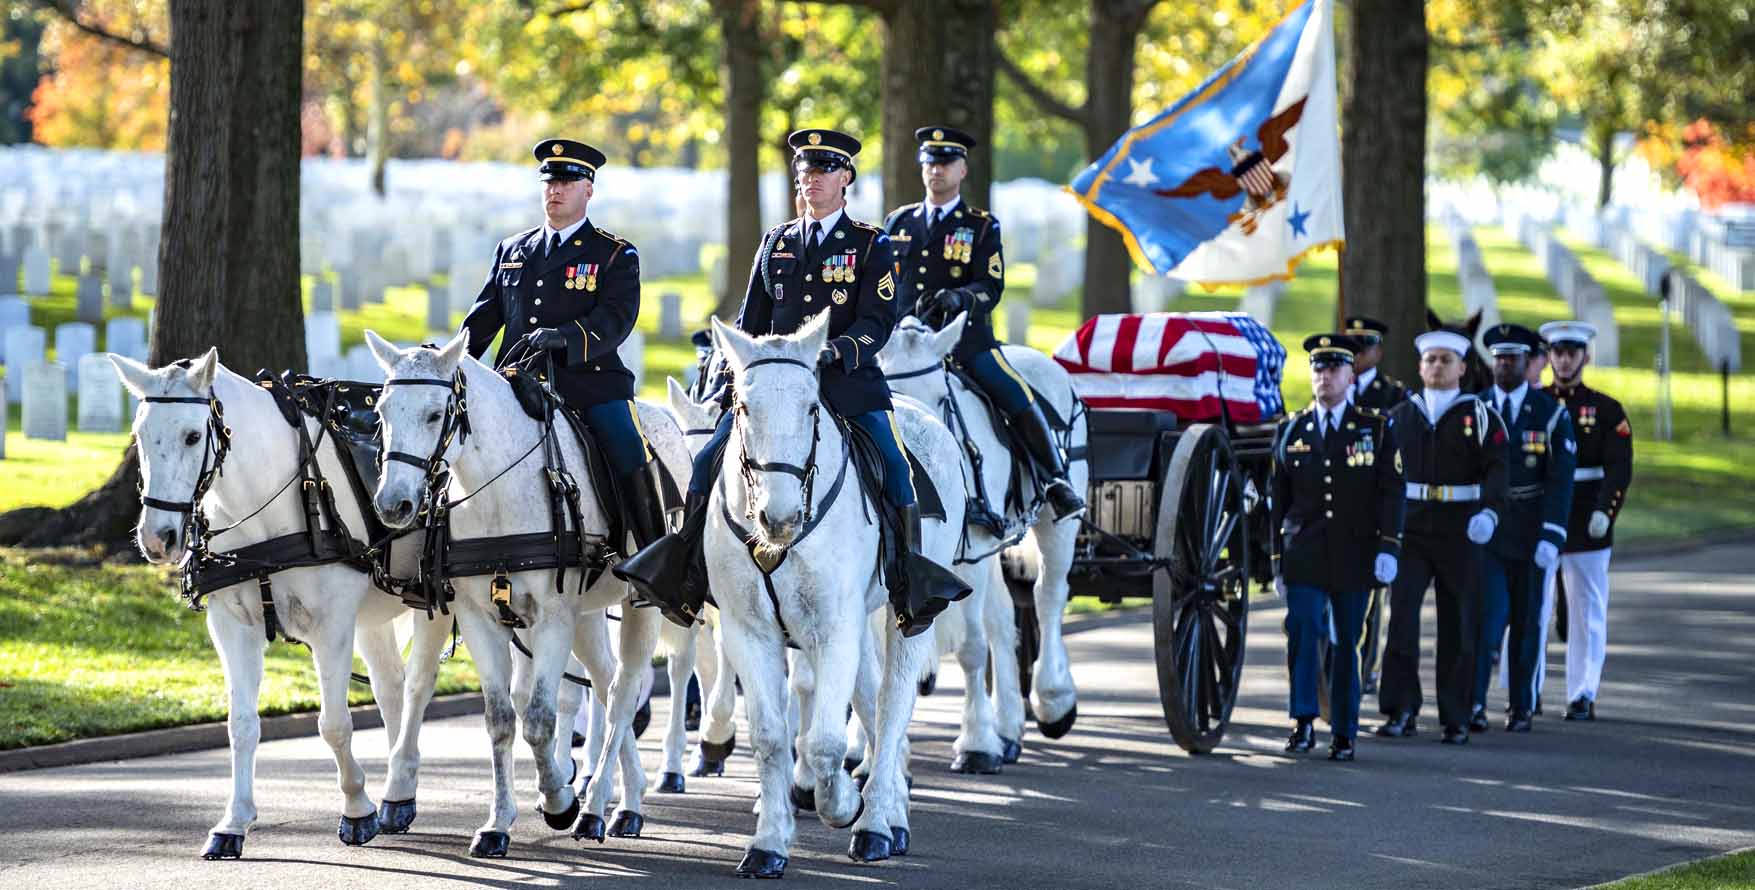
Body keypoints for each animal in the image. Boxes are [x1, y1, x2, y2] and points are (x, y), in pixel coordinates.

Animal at [109, 351, 452, 860]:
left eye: (192, 435)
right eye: (139, 435)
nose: (157, 538)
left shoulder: (332, 627)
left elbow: (334, 725)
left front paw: (356, 809)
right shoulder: (232, 626)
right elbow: (242, 725)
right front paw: (233, 822)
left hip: (440, 604)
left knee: (423, 688)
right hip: (372, 620)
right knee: (392, 688)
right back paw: (399, 790)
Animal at [366, 331, 687, 860]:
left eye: (435, 415)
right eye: (382, 413)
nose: (394, 504)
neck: (494, 490)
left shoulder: (552, 617)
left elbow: (538, 717)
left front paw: (559, 802)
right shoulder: (481, 617)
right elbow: (501, 718)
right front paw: (498, 822)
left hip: (637, 609)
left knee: (621, 696)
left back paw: (600, 808)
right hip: (587, 616)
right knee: (604, 682)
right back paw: (628, 795)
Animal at [702, 315, 975, 877]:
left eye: (812, 406)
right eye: (743, 407)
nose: (779, 519)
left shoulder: (834, 629)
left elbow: (826, 741)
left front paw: (843, 802)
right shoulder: (748, 631)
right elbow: (770, 736)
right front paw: (768, 843)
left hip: (905, 616)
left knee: (891, 706)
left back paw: (876, 826)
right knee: (870, 699)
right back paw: (890, 812)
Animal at [873, 317, 1081, 747]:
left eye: (942, 398)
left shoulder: (969, 557)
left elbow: (970, 646)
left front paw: (977, 743)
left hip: (1054, 530)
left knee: (1048, 597)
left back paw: (1053, 699)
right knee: (1002, 620)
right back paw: (1010, 725)